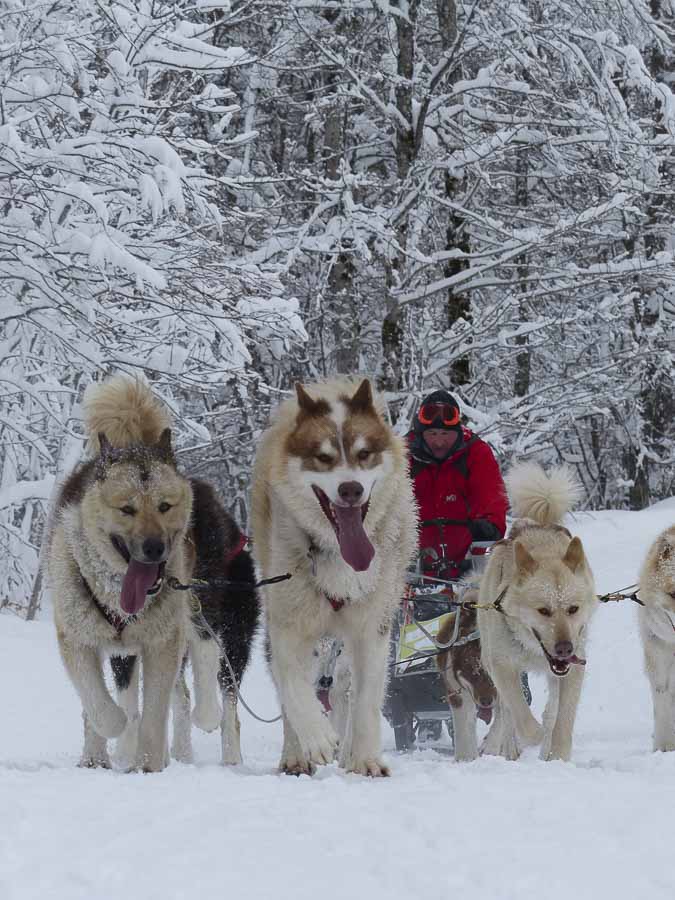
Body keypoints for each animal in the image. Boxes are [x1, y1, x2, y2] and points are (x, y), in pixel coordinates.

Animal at [48, 372, 258, 772]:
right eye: (126, 509)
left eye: (164, 506)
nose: (154, 547)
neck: (115, 589)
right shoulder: (78, 639)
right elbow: (101, 706)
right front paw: (109, 745)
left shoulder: (163, 642)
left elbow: (153, 713)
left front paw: (147, 763)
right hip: (131, 649)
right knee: (161, 694)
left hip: (217, 614)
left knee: (216, 680)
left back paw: (223, 743)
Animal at [251, 376, 418, 776]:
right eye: (323, 457)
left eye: (364, 453)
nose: (350, 489)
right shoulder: (287, 626)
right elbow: (294, 688)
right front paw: (316, 739)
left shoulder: (372, 630)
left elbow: (367, 700)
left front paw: (366, 759)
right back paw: (296, 755)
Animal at [436, 588, 500, 764]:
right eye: (471, 671)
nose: (486, 702)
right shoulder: (457, 692)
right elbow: (464, 724)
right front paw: (466, 759)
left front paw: (491, 746)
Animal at [476, 460, 596, 764]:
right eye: (543, 610)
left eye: (573, 609)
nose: (565, 648)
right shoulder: (502, 666)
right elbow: (521, 717)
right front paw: (535, 737)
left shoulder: (574, 669)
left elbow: (562, 721)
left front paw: (557, 757)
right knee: (506, 713)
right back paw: (508, 746)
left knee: (550, 709)